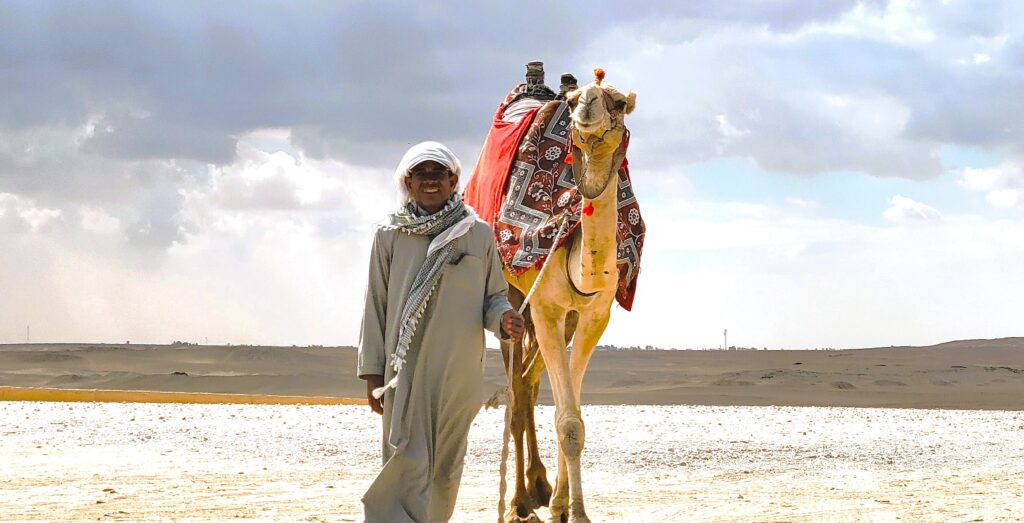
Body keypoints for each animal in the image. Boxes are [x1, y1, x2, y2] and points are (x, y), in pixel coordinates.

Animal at [496, 74, 638, 523]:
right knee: (517, 393)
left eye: (618, 102)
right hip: (511, 298)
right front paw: (569, 510)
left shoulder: (594, 316)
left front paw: (565, 507)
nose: (587, 103)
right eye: (573, 101)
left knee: (529, 382)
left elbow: (572, 417)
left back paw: (539, 488)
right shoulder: (545, 308)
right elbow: (567, 421)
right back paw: (519, 501)